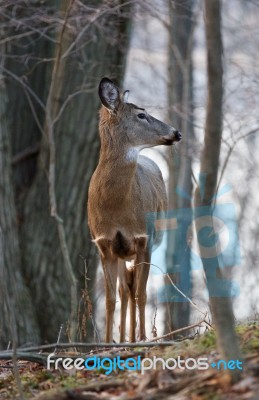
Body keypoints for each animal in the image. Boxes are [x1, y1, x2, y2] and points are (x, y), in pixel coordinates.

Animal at [87, 79, 181, 344]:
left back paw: (132, 338)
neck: (117, 207)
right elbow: (110, 299)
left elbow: (142, 293)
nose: (176, 133)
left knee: (133, 289)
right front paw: (106, 343)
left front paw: (142, 338)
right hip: (121, 253)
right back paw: (123, 339)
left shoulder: (143, 237)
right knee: (124, 290)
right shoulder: (104, 243)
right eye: (141, 114)